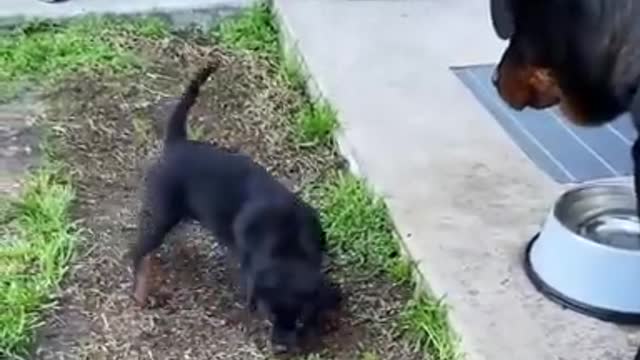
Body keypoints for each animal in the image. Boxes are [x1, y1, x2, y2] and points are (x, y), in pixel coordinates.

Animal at [130, 64, 340, 352]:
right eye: (268, 316)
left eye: (298, 321)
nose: (281, 349)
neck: (287, 245)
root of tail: (177, 142)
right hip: (162, 212)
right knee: (138, 251)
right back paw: (141, 291)